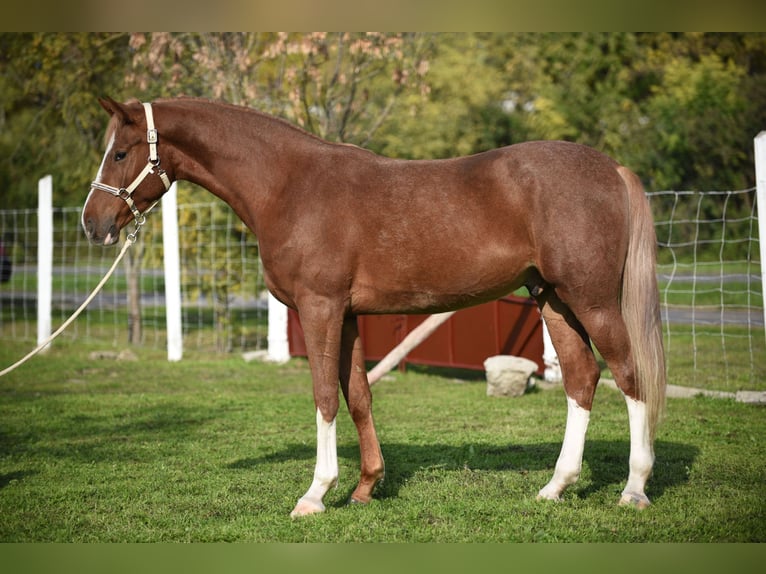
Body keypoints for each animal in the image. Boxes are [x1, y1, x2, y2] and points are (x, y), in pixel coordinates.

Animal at [82, 95, 664, 516]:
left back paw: (633, 489)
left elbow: (324, 395)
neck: (289, 185)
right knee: (582, 379)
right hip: (553, 301)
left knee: (630, 376)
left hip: (592, 301)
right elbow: (358, 395)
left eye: (119, 153)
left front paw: (316, 494)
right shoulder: (348, 316)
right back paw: (555, 487)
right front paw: (366, 487)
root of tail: (611, 168)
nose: (93, 224)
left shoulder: (318, 309)